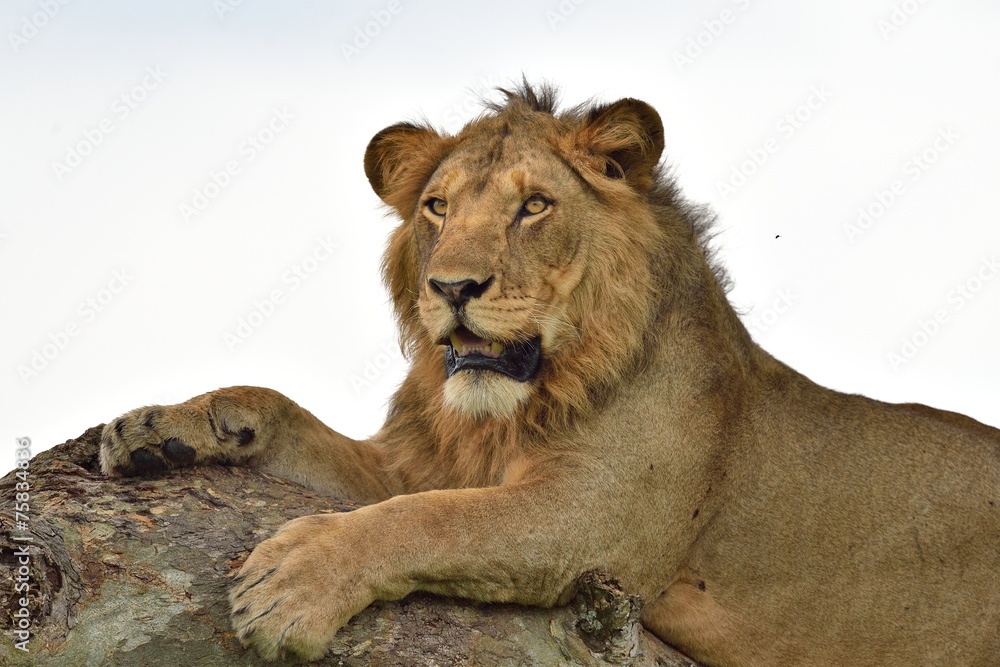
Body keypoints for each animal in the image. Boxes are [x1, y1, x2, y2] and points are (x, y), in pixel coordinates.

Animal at [100, 83, 1000, 666]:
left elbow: (431, 521)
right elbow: (290, 415)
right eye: (437, 207)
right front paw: (160, 429)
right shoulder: (414, 463)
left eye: (533, 206)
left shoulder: (601, 520)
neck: (502, 413)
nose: (452, 287)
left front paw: (292, 588)